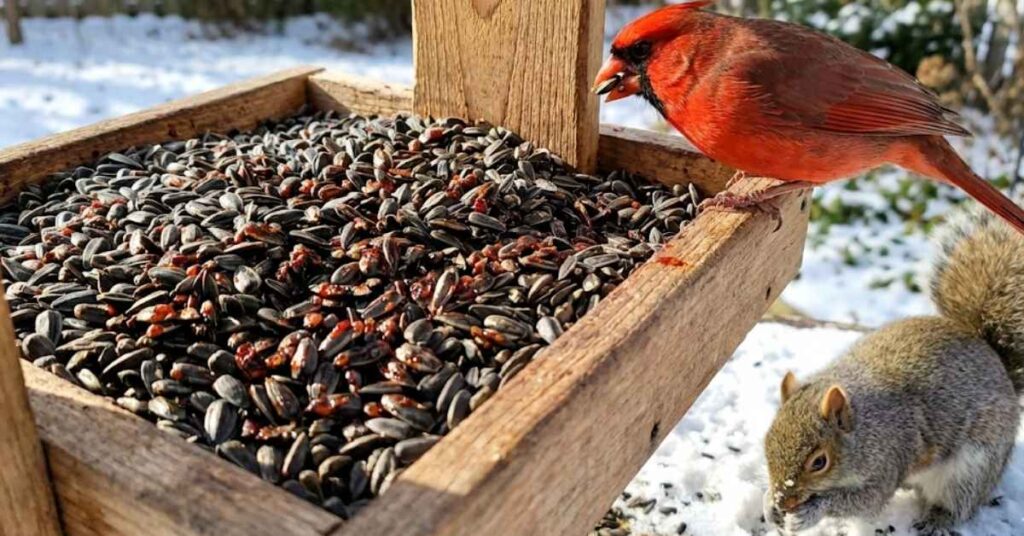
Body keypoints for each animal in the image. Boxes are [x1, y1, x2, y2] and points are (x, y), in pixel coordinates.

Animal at [762, 202, 1024, 536]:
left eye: (819, 462)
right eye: (767, 443)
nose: (784, 500)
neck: (862, 427)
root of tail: (997, 361)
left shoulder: (889, 458)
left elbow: (865, 500)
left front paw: (810, 512)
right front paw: (768, 504)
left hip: (972, 468)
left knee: (959, 502)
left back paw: (937, 519)